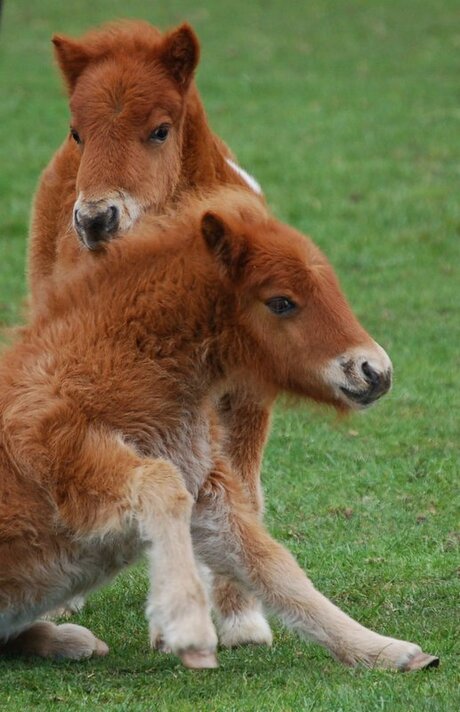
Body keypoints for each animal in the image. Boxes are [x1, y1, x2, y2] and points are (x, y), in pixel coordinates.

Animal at [0, 188, 438, 668]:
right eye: (281, 302)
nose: (375, 372)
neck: (108, 364)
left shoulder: (208, 493)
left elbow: (275, 567)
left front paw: (386, 651)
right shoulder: (67, 462)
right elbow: (161, 484)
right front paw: (186, 624)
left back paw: (72, 640)